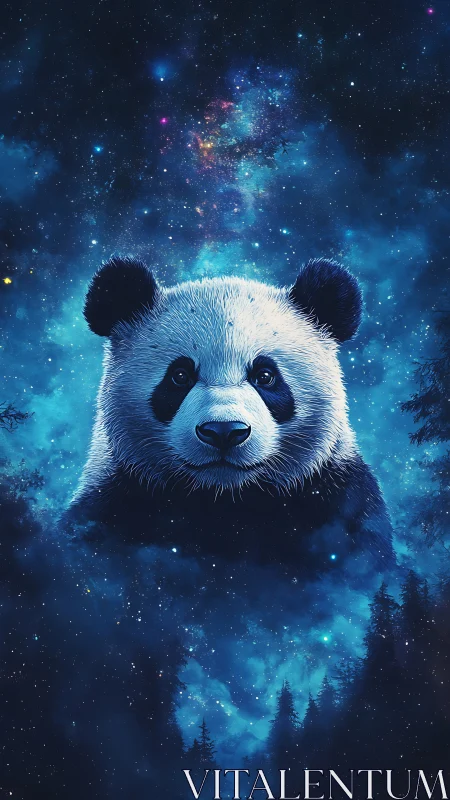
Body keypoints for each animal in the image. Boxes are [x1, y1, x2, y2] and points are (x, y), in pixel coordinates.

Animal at [69, 255, 393, 570]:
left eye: (265, 376)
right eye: (179, 376)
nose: (223, 431)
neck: (225, 501)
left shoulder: (339, 502)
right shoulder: (113, 503)